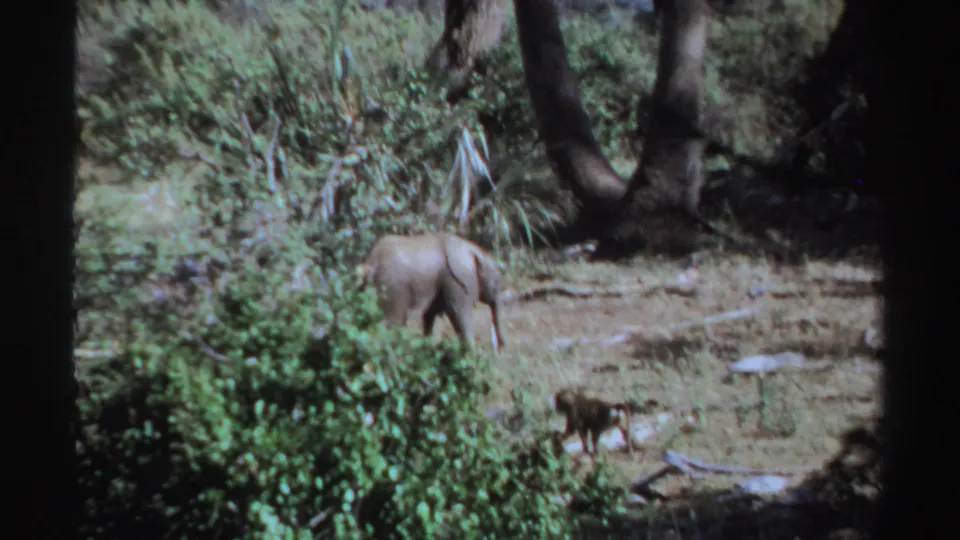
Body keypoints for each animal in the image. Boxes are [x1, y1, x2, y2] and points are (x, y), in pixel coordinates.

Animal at [358, 231, 506, 353]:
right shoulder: (454, 281)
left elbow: (430, 316)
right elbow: (459, 313)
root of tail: (371, 262)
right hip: (393, 287)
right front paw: (472, 357)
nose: (501, 347)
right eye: (496, 285)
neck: (471, 249)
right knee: (391, 323)